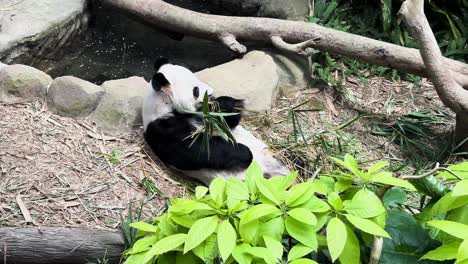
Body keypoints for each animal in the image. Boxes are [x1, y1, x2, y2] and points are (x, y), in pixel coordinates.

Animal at [143, 58, 288, 186]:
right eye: (196, 90)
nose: (211, 93)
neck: (164, 103)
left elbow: (226, 122)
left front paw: (226, 105)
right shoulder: (162, 127)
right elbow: (196, 149)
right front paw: (245, 152)